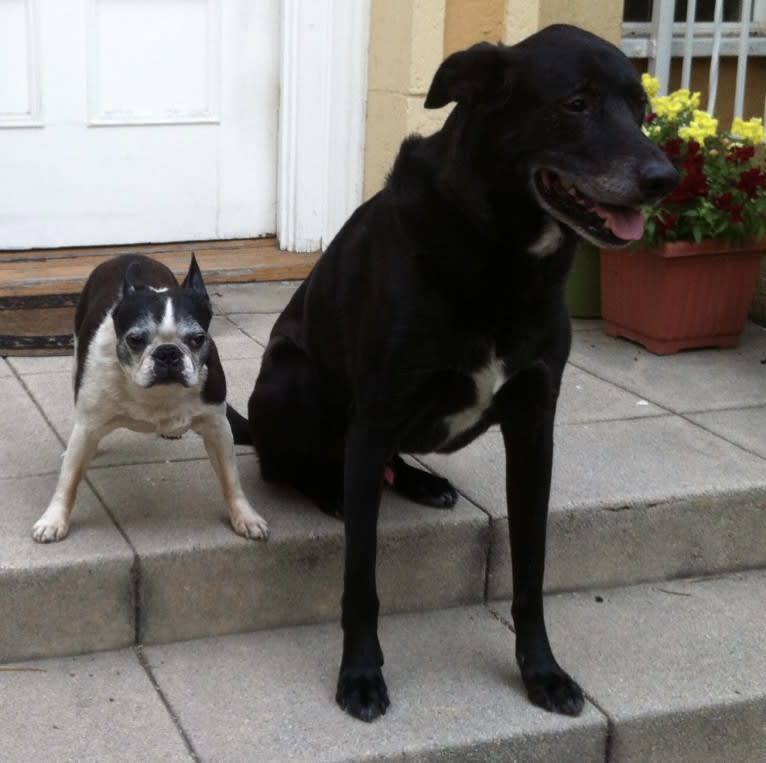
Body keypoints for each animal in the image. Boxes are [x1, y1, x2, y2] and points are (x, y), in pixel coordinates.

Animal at [33, 255, 270, 544]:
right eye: (135, 339)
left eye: (198, 338)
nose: (167, 352)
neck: (158, 393)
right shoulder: (87, 426)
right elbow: (69, 479)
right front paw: (54, 519)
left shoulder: (218, 428)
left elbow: (230, 477)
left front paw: (245, 516)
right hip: (77, 357)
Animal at [231, 25, 680, 724]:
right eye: (576, 104)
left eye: (643, 110)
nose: (664, 178)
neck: (502, 255)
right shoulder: (377, 413)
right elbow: (361, 580)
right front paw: (361, 675)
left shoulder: (534, 429)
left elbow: (531, 571)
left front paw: (542, 671)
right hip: (291, 380)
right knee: (296, 465)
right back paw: (329, 489)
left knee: (384, 464)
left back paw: (419, 482)